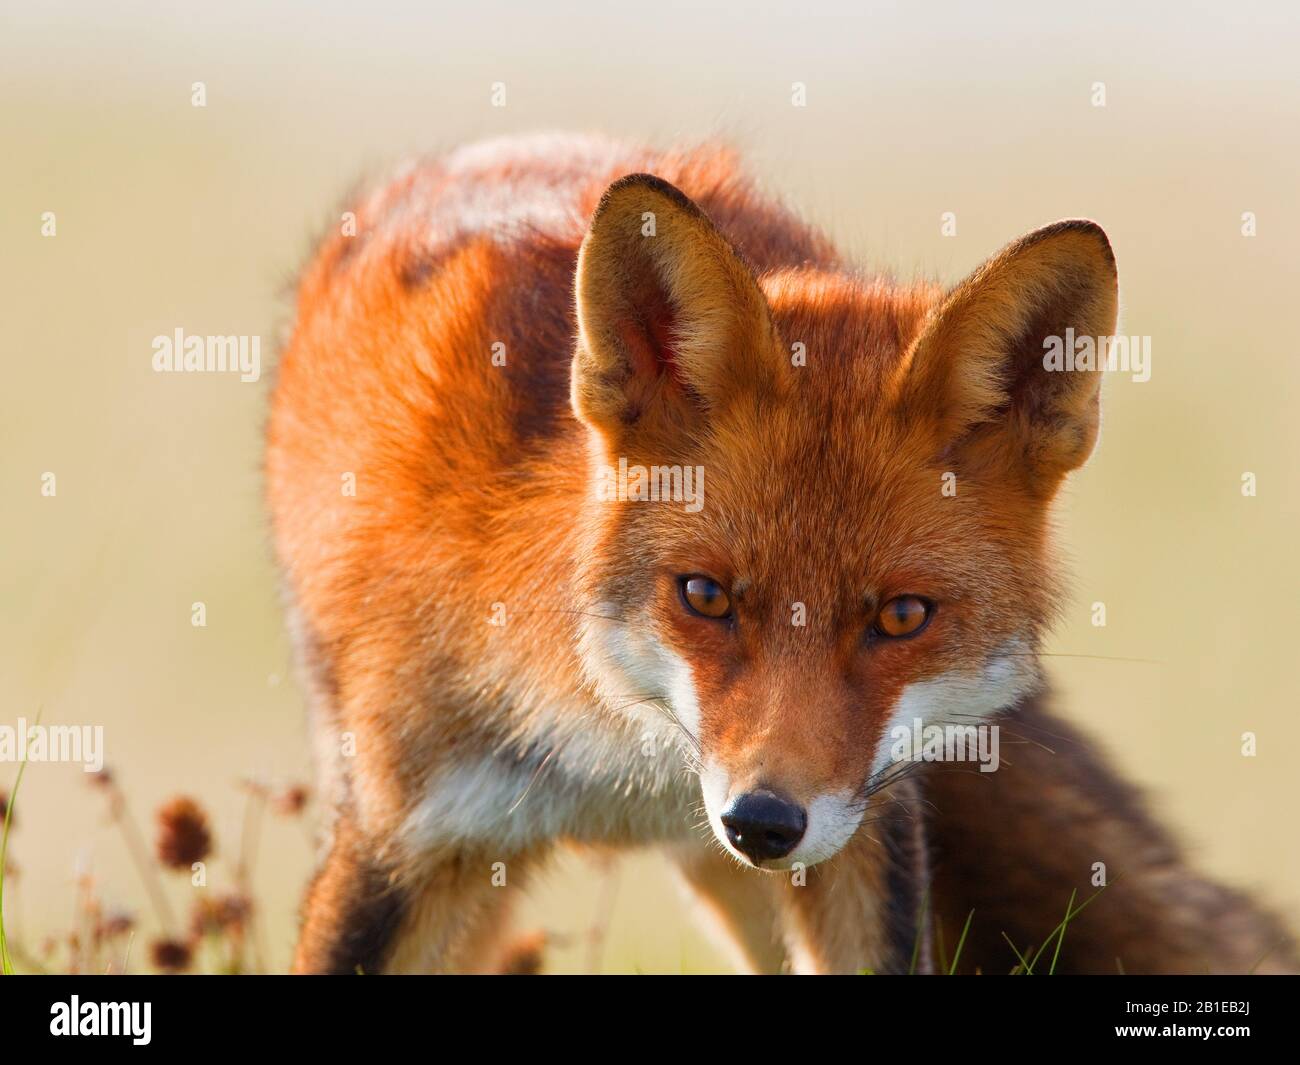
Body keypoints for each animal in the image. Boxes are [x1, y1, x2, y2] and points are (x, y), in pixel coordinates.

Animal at [263, 131, 1289, 972]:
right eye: (705, 595)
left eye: (902, 616)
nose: (763, 822)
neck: (622, 759)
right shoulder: (400, 844)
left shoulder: (866, 840)